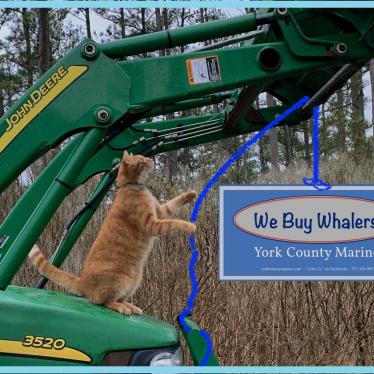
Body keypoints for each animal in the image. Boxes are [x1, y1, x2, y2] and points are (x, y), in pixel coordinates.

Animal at [28, 150, 197, 314]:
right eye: (142, 160)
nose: (151, 160)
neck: (133, 187)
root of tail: (83, 282)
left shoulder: (161, 211)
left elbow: (173, 203)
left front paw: (190, 195)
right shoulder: (152, 224)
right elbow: (173, 222)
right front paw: (190, 226)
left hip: (135, 281)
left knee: (120, 298)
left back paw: (131, 306)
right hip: (121, 280)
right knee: (105, 301)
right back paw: (122, 308)